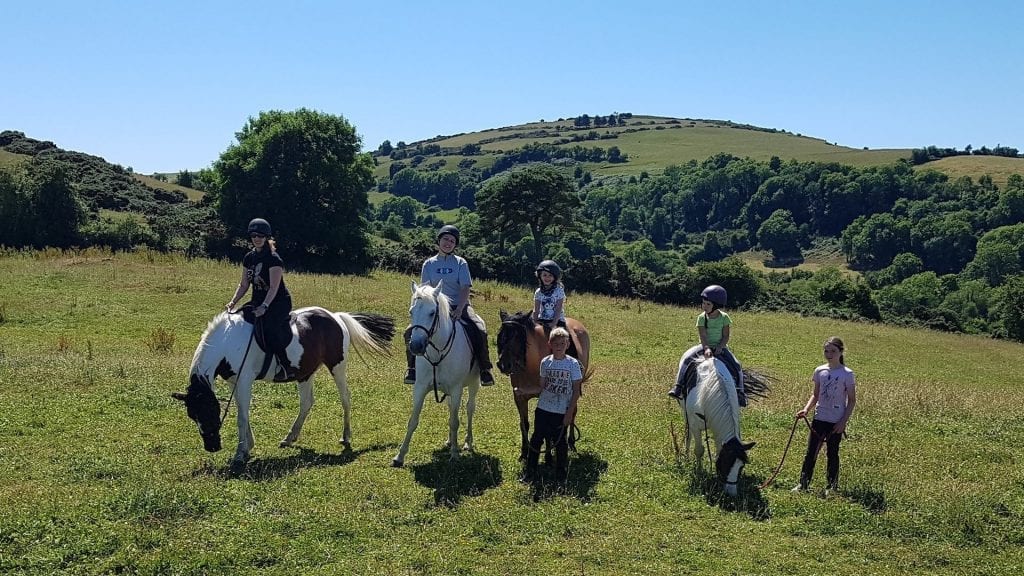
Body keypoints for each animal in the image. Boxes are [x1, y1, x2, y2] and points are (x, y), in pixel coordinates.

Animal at [172, 305, 391, 467]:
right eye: (192, 415)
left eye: (209, 410)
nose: (212, 447)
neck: (228, 342)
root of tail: (336, 317)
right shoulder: (235, 382)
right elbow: (243, 413)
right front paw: (248, 447)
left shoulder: (244, 380)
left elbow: (242, 417)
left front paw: (240, 454)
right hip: (305, 373)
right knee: (307, 403)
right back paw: (290, 437)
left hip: (337, 367)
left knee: (345, 398)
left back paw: (345, 437)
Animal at [495, 307, 593, 459]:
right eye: (500, 335)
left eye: (517, 336)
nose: (504, 365)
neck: (532, 365)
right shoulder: (518, 397)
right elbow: (524, 424)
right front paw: (524, 453)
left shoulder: (546, 395)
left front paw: (548, 456)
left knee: (572, 413)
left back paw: (571, 443)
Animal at [675, 354, 757, 494]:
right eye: (725, 463)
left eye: (741, 467)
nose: (731, 493)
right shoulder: (695, 425)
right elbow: (699, 450)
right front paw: (699, 472)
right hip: (685, 414)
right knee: (688, 435)